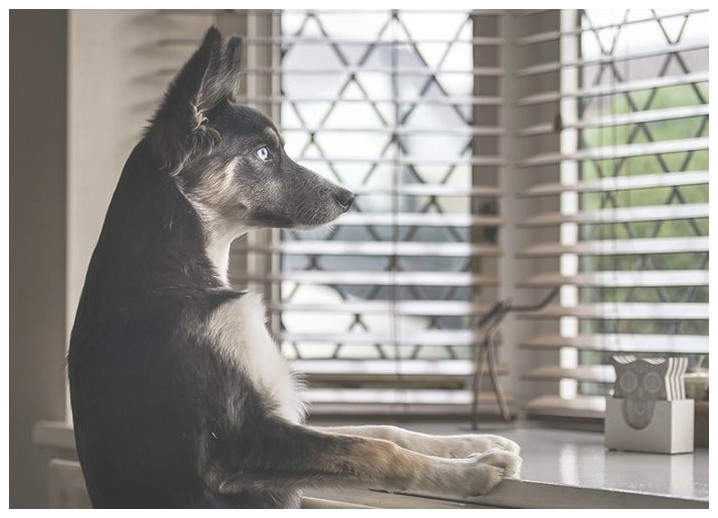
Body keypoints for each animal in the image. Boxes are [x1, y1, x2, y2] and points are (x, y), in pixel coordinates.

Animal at [66, 26, 524, 510]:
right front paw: (472, 471)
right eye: (264, 153)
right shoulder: (236, 444)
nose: (348, 197)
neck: (175, 272)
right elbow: (378, 450)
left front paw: (473, 443)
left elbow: (381, 430)